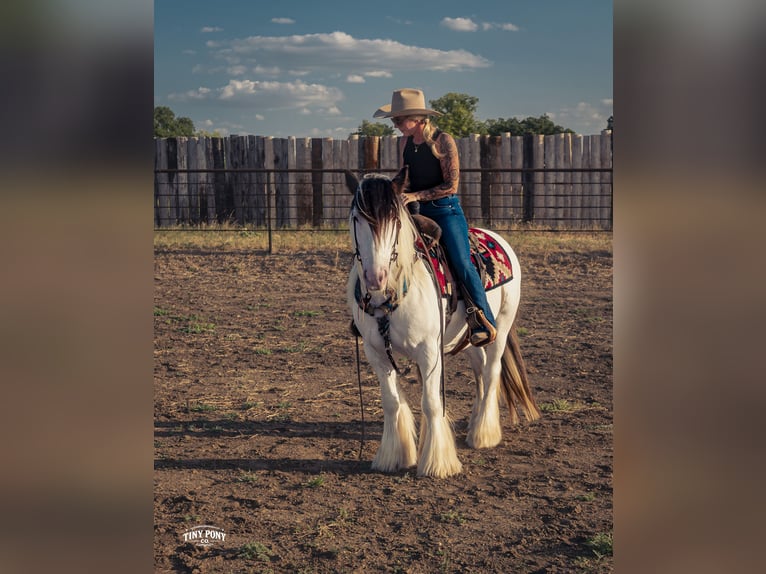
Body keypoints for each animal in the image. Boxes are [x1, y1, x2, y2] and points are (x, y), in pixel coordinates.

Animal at [345, 169, 540, 478]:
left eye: (395, 220)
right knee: (480, 370)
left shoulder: (429, 351)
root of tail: (497, 238)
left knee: (492, 371)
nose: (375, 277)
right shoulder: (376, 352)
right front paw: (394, 455)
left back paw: (483, 433)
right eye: (356, 218)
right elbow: (392, 402)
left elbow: (431, 402)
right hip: (468, 339)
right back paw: (474, 422)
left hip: (502, 327)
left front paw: (438, 463)